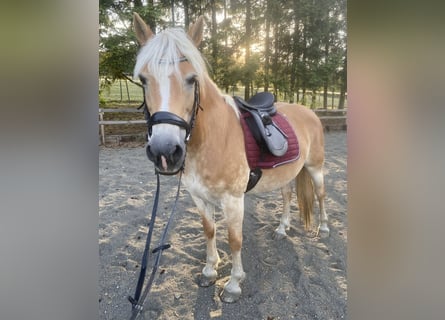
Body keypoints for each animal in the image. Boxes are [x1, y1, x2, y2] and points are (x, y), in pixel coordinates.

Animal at [130, 12, 328, 302]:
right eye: (144, 80)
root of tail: (309, 111)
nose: (164, 151)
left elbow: (235, 240)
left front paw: (233, 284)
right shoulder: (199, 197)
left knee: (321, 194)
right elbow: (209, 230)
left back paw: (323, 228)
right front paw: (210, 271)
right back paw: (282, 229)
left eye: (192, 79)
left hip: (315, 167)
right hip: (287, 173)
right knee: (287, 196)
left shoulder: (233, 201)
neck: (213, 137)